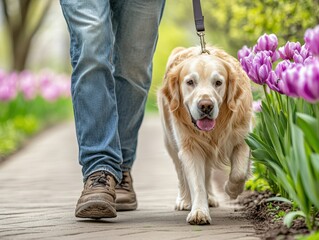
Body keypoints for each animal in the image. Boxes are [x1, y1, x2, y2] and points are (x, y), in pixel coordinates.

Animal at [158, 45, 252, 225]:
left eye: (218, 82)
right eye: (190, 82)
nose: (206, 106)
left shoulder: (243, 138)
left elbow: (239, 173)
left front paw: (231, 189)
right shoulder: (191, 148)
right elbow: (196, 183)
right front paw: (199, 212)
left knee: (208, 174)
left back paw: (212, 197)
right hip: (170, 142)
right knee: (181, 174)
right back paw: (185, 200)